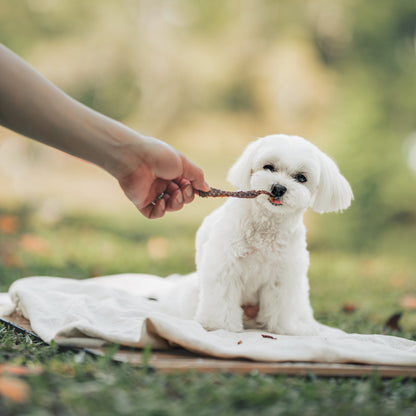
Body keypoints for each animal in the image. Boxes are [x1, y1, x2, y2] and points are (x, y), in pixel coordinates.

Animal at [193, 133, 354, 334]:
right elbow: (222, 299)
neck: (267, 225)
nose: (278, 188)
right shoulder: (225, 266)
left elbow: (280, 305)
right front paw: (219, 326)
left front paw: (281, 328)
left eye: (301, 178)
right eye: (268, 167)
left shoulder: (282, 277)